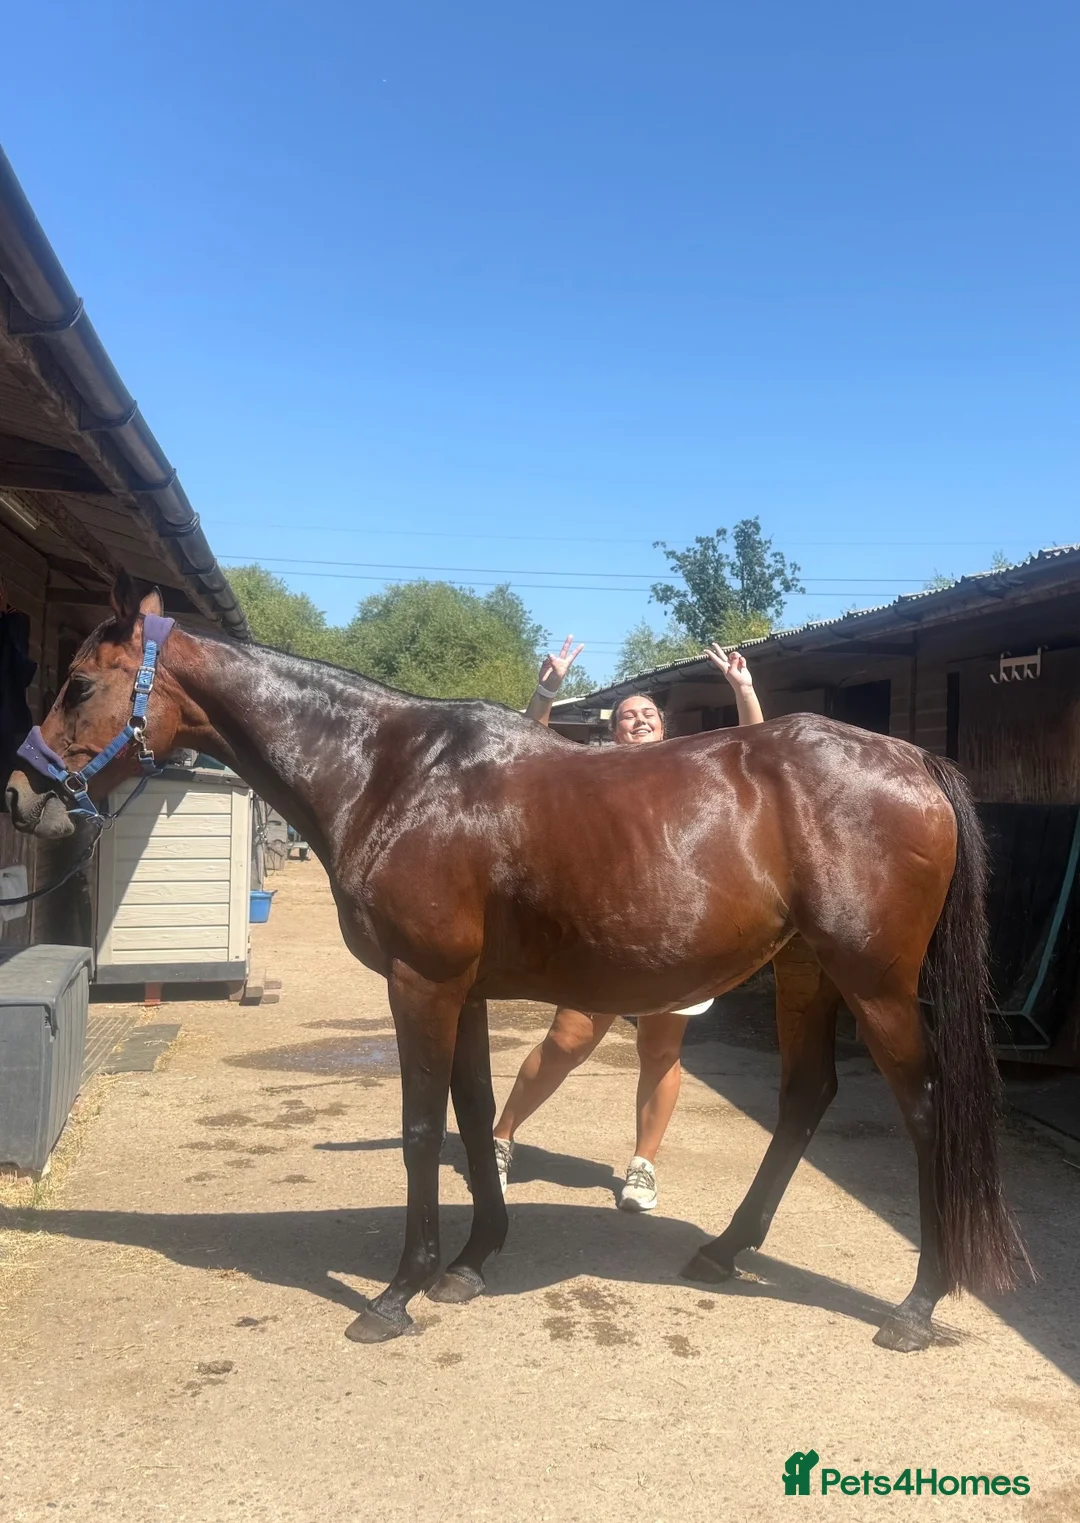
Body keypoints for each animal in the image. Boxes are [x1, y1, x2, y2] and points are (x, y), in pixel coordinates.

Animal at [5, 578, 1022, 1351]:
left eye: (81, 683)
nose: (21, 794)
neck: (391, 771)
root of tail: (913, 760)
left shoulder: (421, 982)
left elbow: (422, 1129)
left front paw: (396, 1293)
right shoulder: (467, 992)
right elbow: (474, 1112)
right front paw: (469, 1261)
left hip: (876, 985)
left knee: (924, 1109)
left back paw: (916, 1305)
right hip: (808, 973)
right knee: (805, 1095)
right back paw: (727, 1250)